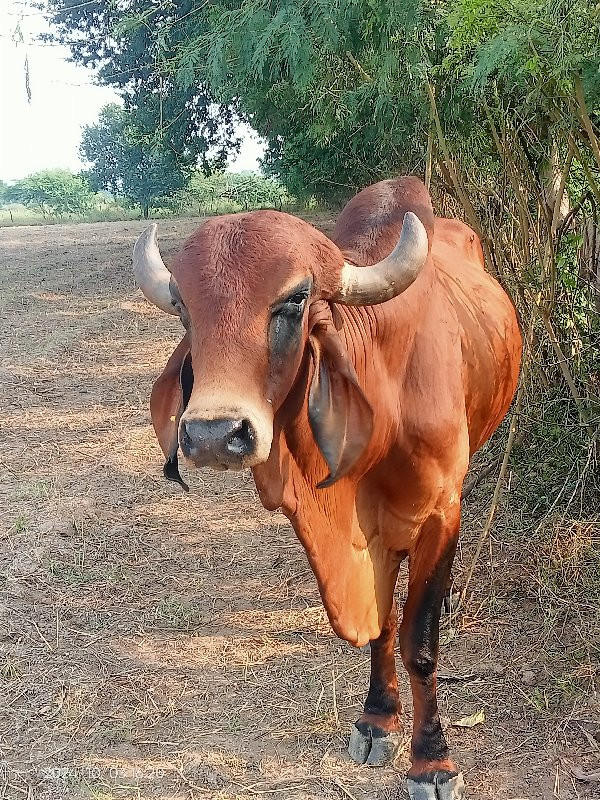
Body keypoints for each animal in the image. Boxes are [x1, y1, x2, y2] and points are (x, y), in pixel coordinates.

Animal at [134, 177, 524, 800]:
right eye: (185, 309)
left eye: (294, 300)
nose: (215, 434)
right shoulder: (369, 531)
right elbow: (383, 624)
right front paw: (377, 719)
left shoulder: (441, 509)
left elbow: (419, 640)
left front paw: (433, 761)